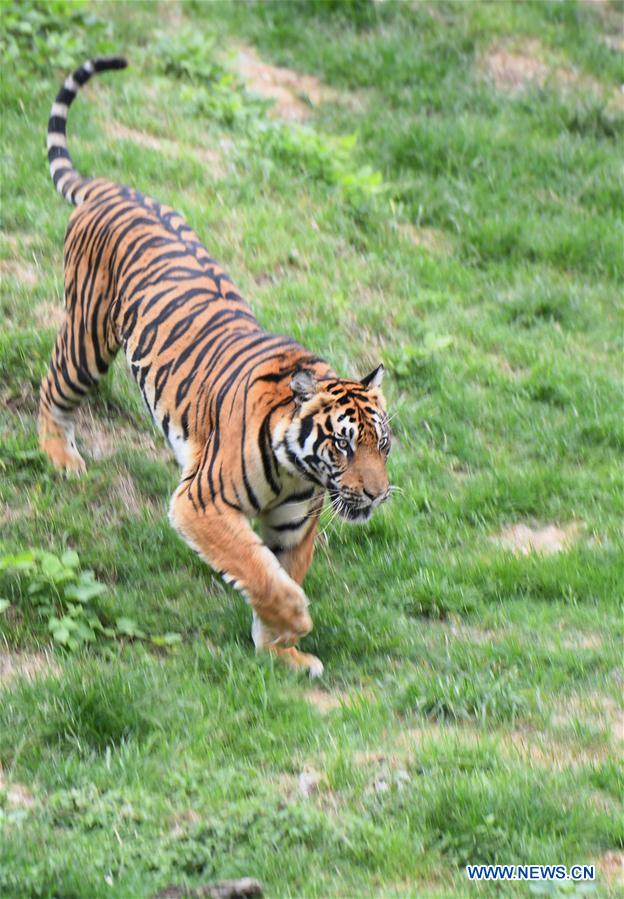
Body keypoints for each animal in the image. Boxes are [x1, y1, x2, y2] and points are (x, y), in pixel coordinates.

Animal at [39, 57, 392, 677]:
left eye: (384, 445)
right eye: (345, 445)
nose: (375, 496)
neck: (299, 470)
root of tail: (113, 186)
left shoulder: (294, 524)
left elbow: (278, 571)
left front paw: (282, 652)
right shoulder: (200, 502)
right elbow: (258, 570)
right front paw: (296, 620)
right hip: (86, 338)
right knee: (51, 389)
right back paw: (60, 457)